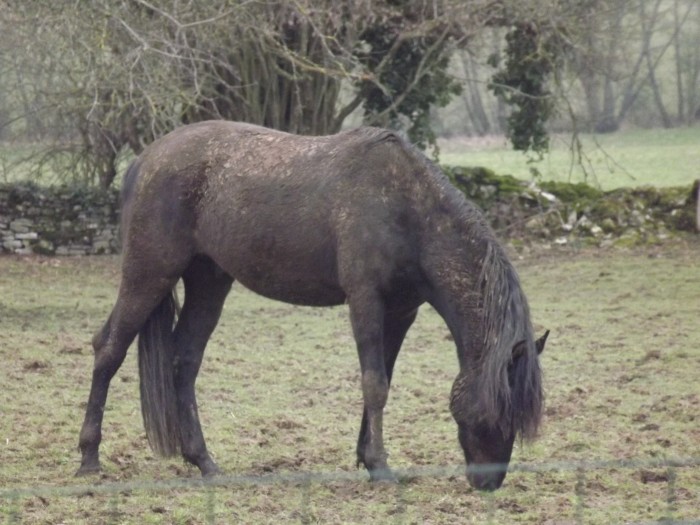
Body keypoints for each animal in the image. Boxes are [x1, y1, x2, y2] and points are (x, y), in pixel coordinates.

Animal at [76, 121, 548, 490]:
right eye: (502, 410)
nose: (489, 482)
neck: (407, 209)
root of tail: (144, 161)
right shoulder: (366, 301)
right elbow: (374, 383)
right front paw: (380, 467)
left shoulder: (401, 312)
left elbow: (383, 379)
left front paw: (366, 457)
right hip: (149, 274)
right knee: (109, 349)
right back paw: (89, 459)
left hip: (209, 281)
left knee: (184, 361)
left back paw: (205, 462)